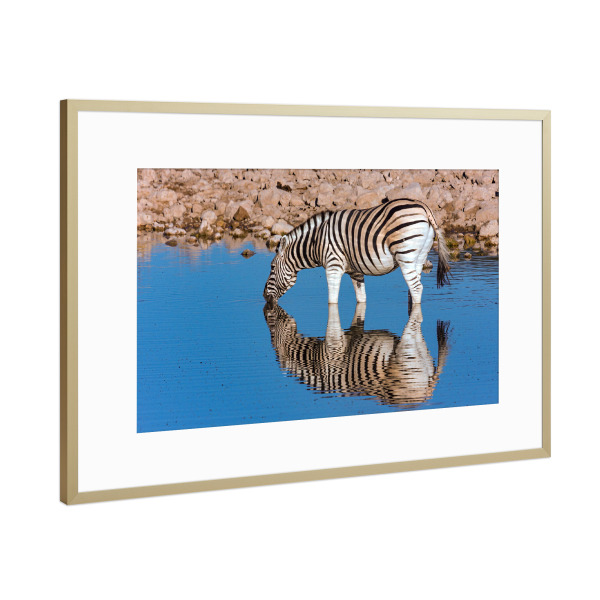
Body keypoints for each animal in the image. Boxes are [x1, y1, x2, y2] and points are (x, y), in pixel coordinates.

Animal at [263, 198, 451, 306]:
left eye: (272, 267)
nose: (264, 296)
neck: (316, 242)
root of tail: (425, 208)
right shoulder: (355, 271)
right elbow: (361, 299)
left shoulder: (333, 266)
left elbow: (332, 301)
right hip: (419, 257)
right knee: (414, 289)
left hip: (405, 254)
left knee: (417, 288)